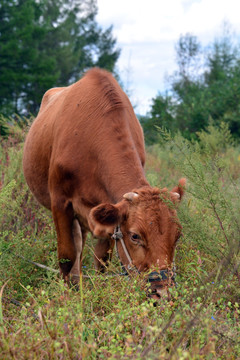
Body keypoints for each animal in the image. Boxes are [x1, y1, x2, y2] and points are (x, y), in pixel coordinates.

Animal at [23, 67, 186, 298]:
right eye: (135, 236)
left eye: (178, 235)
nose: (162, 292)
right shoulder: (60, 202)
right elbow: (66, 257)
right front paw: (68, 297)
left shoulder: (108, 211)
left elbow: (102, 261)